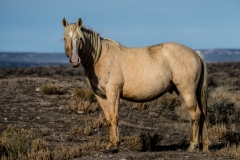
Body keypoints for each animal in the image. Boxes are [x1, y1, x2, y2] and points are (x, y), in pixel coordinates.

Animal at [62, 17, 210, 152]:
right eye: (64, 38)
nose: (74, 60)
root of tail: (196, 53)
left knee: (195, 114)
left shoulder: (113, 92)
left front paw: (114, 146)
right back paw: (204, 146)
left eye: (80, 38)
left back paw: (192, 146)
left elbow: (114, 117)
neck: (101, 57)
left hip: (187, 91)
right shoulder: (101, 96)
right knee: (202, 114)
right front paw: (112, 144)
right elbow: (109, 119)